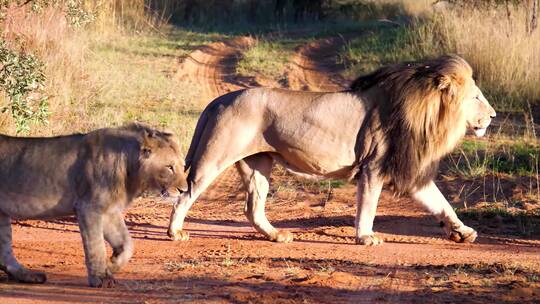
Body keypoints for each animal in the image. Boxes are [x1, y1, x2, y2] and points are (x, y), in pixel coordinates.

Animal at [0, 123, 188, 288]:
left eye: (183, 166)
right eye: (169, 167)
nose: (184, 190)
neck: (128, 166)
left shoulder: (110, 210)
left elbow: (127, 244)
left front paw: (111, 265)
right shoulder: (89, 208)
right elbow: (96, 246)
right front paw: (100, 277)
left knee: (5, 253)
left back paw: (27, 275)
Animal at [168, 54, 494, 245]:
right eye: (477, 97)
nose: (492, 116)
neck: (428, 112)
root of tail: (220, 100)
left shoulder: (410, 173)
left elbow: (442, 203)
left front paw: (463, 232)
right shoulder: (373, 167)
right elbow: (368, 206)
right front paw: (366, 237)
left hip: (257, 164)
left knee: (253, 208)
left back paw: (277, 236)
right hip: (215, 156)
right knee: (186, 194)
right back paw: (175, 233)